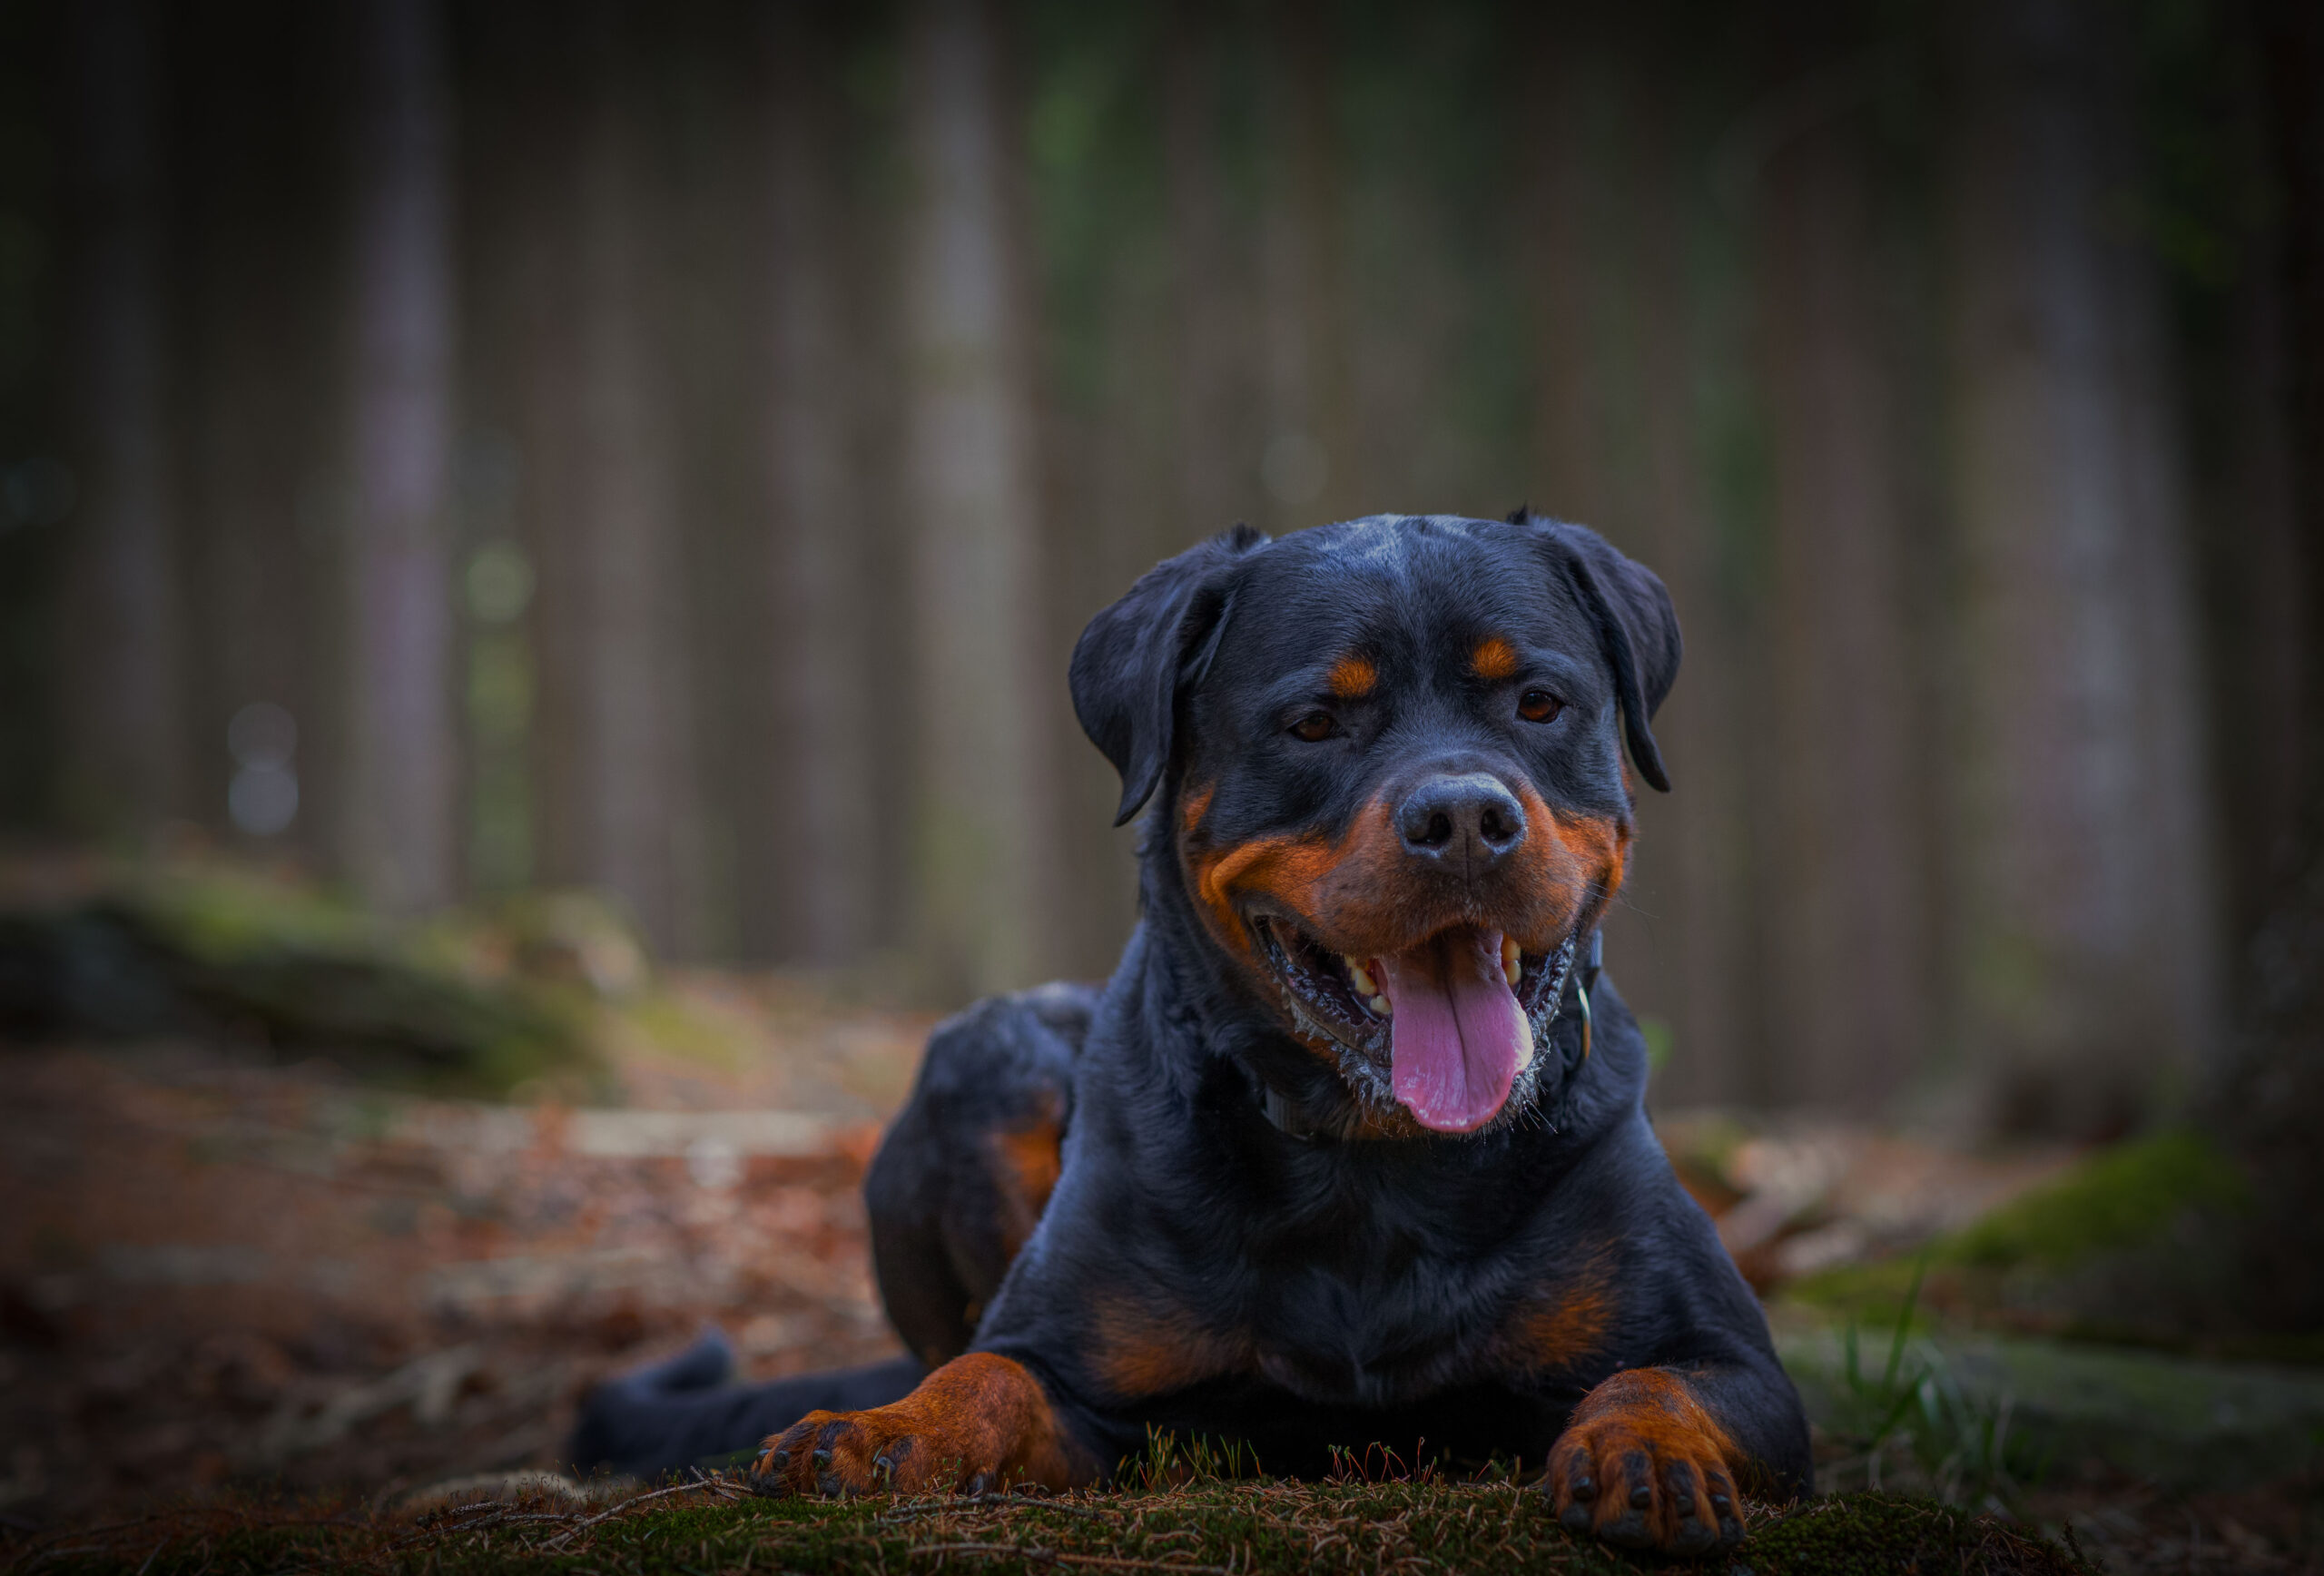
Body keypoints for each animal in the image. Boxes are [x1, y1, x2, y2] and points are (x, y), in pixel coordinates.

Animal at [571, 516, 1803, 1552]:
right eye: (1314, 721)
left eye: (1538, 703)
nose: (1462, 815)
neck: (1376, 1166)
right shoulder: (1093, 1389)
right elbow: (989, 1373)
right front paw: (882, 1427)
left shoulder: (1741, 1363)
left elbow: (1660, 1377)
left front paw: (1647, 1451)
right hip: (984, 1067)